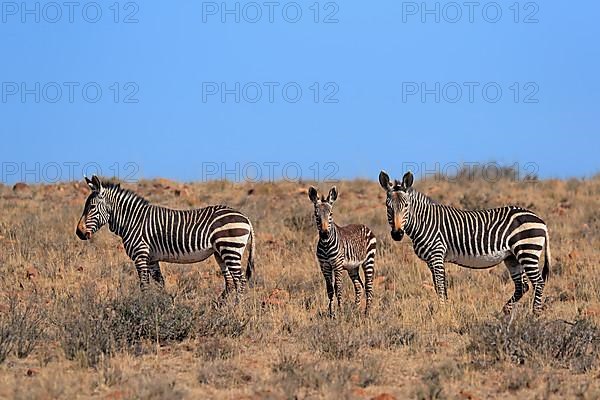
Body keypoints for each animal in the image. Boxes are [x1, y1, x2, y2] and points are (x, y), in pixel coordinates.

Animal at [75, 176, 253, 296]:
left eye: (91, 207)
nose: (79, 233)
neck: (133, 221)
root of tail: (246, 217)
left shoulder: (141, 255)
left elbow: (144, 285)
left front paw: (144, 307)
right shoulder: (152, 258)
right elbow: (160, 283)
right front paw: (162, 305)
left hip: (230, 249)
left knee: (241, 281)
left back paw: (237, 308)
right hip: (220, 253)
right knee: (230, 282)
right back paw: (221, 307)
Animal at [308, 187, 378, 316]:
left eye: (331, 214)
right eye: (316, 214)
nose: (324, 234)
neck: (326, 244)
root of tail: (364, 225)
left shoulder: (337, 265)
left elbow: (338, 288)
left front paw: (339, 311)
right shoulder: (325, 266)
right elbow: (330, 289)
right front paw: (331, 313)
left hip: (369, 260)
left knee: (368, 286)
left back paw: (367, 312)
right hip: (352, 267)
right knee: (358, 286)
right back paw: (355, 310)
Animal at [378, 170, 552, 314]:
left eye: (406, 206)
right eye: (388, 206)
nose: (397, 234)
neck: (424, 222)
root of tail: (541, 221)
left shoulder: (437, 255)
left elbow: (440, 286)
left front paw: (443, 312)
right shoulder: (431, 261)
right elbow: (438, 286)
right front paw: (445, 310)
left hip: (527, 251)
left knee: (538, 282)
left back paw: (535, 314)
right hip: (512, 257)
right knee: (522, 285)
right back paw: (505, 311)